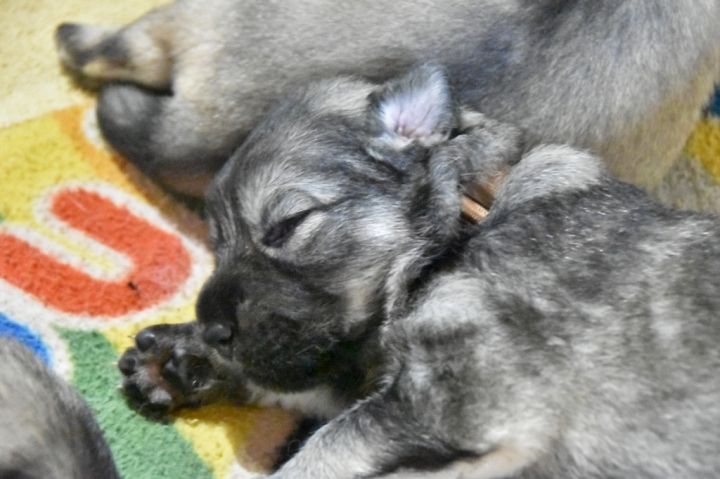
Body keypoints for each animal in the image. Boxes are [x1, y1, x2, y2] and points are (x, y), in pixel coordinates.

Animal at [116, 64, 720, 477]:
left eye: (287, 226)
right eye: (215, 245)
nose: (213, 329)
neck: (470, 222)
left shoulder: (462, 397)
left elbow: (323, 447)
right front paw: (182, 358)